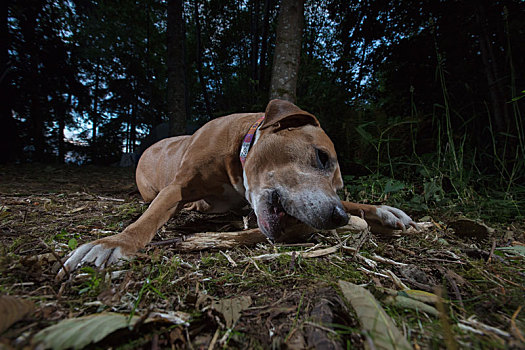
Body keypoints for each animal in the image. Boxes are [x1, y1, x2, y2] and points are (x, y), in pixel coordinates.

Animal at [58, 99, 418, 278]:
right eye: (321, 156)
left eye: (340, 184)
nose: (339, 217)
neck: (237, 155)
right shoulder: (177, 188)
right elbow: (150, 219)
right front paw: (113, 243)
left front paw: (383, 211)